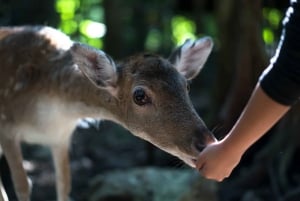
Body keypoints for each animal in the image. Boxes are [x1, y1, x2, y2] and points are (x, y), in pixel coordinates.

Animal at [0, 25, 216, 200]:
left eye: (186, 85)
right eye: (139, 96)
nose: (206, 143)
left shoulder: (60, 138)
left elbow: (64, 186)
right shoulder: (7, 129)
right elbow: (23, 185)